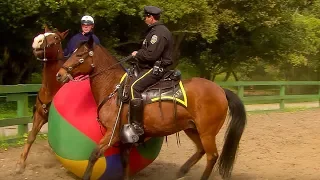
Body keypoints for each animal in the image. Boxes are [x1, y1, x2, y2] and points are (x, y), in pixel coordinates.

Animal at [15, 26, 69, 174]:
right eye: (44, 34)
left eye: (56, 38)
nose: (37, 40)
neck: (50, 89)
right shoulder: (39, 116)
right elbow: (31, 137)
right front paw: (20, 163)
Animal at [55, 34, 248, 179]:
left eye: (80, 55)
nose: (59, 74)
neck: (113, 87)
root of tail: (221, 90)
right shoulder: (125, 139)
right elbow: (125, 162)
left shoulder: (113, 133)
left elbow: (94, 155)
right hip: (192, 128)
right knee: (201, 151)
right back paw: (181, 171)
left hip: (207, 132)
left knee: (211, 156)